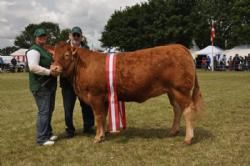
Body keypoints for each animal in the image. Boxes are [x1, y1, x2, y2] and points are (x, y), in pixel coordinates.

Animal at [50, 42, 203, 145]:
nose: (54, 68)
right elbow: (103, 116)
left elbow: (98, 116)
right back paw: (173, 131)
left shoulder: (95, 96)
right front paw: (103, 134)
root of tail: (180, 47)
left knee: (188, 110)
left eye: (67, 55)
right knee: (177, 109)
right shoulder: (105, 98)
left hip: (180, 90)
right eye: (53, 56)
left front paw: (98, 137)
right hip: (171, 91)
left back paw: (188, 138)